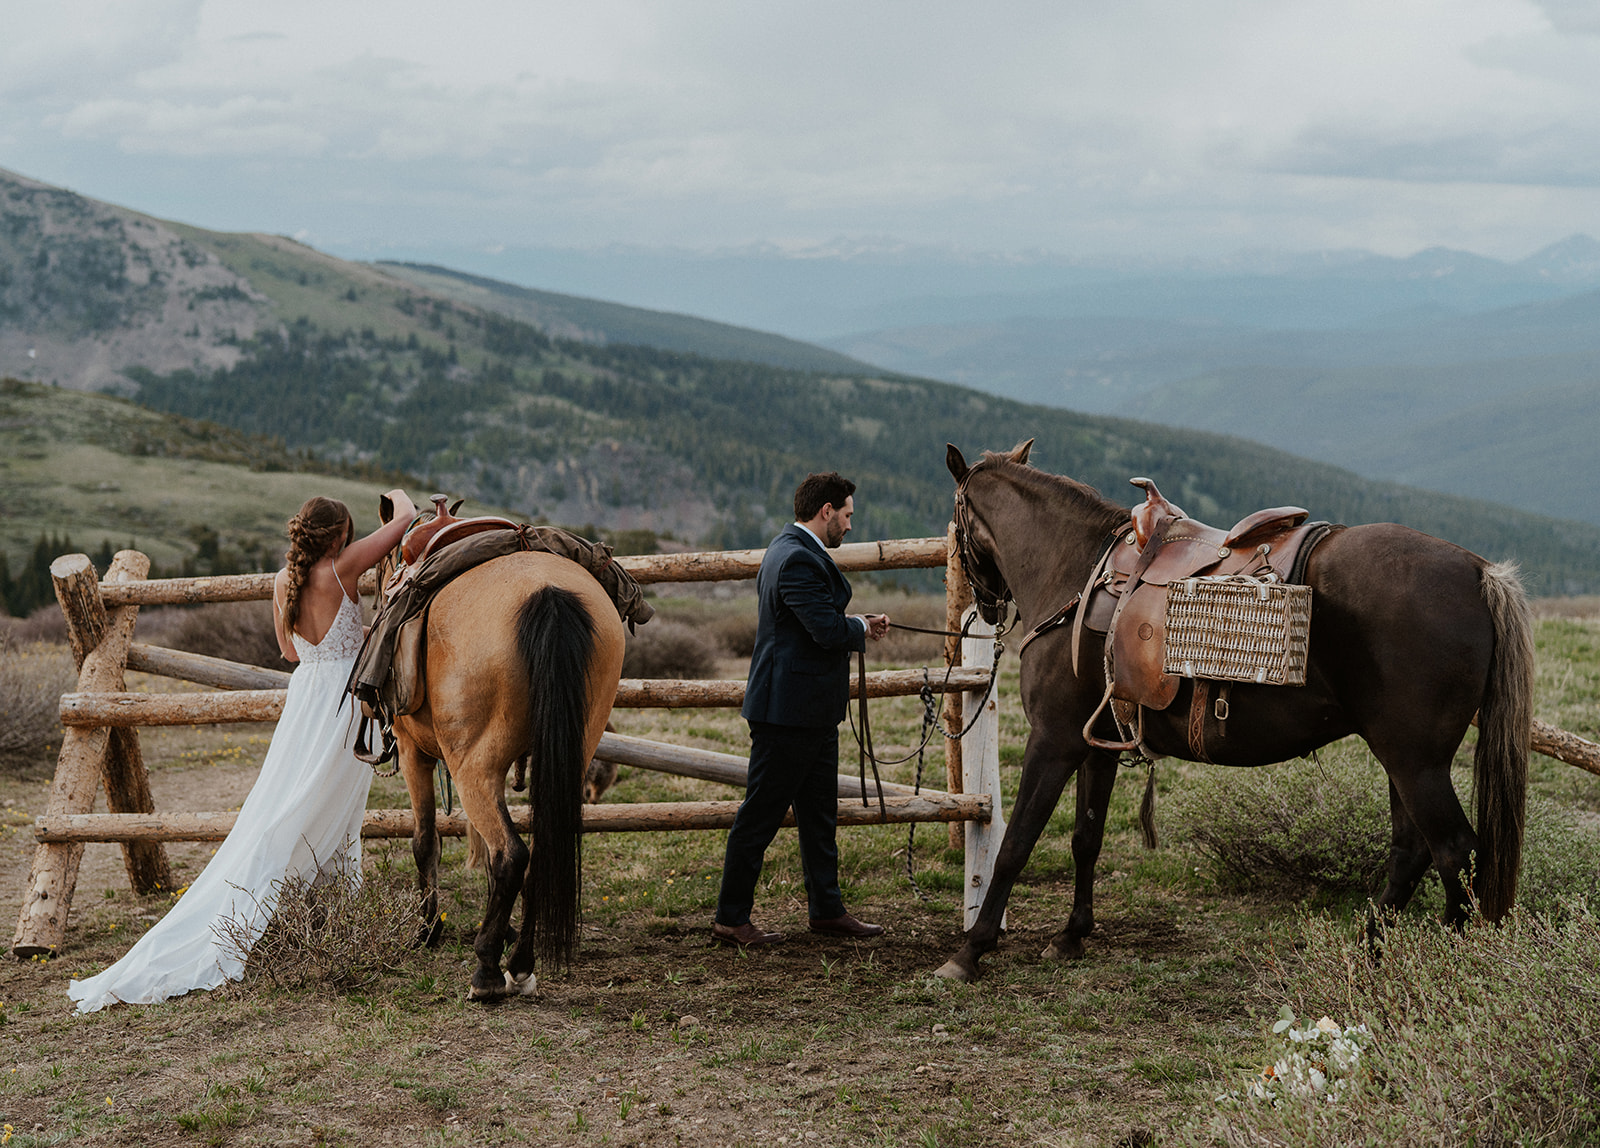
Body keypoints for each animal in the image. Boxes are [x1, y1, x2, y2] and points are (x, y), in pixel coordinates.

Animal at [934, 444, 1536, 984]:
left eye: (956, 530)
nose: (987, 605)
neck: (1075, 572)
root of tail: (1479, 570)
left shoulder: (1053, 740)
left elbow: (1015, 846)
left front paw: (971, 951)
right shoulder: (1096, 744)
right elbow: (1087, 838)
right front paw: (1071, 935)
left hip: (1416, 763)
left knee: (1455, 852)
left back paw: (1446, 969)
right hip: (1403, 761)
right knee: (1413, 852)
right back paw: (1366, 953)